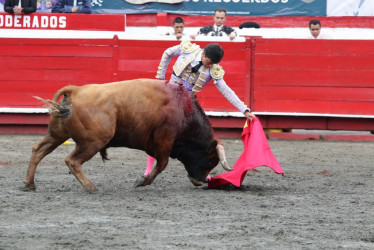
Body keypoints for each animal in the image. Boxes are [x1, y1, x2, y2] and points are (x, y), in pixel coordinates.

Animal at [24, 79, 231, 190]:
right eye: (211, 160)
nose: (201, 181)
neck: (183, 109)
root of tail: (76, 90)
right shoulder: (165, 139)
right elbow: (162, 164)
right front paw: (142, 181)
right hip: (93, 142)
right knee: (72, 161)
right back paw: (91, 187)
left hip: (57, 135)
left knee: (38, 150)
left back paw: (29, 184)